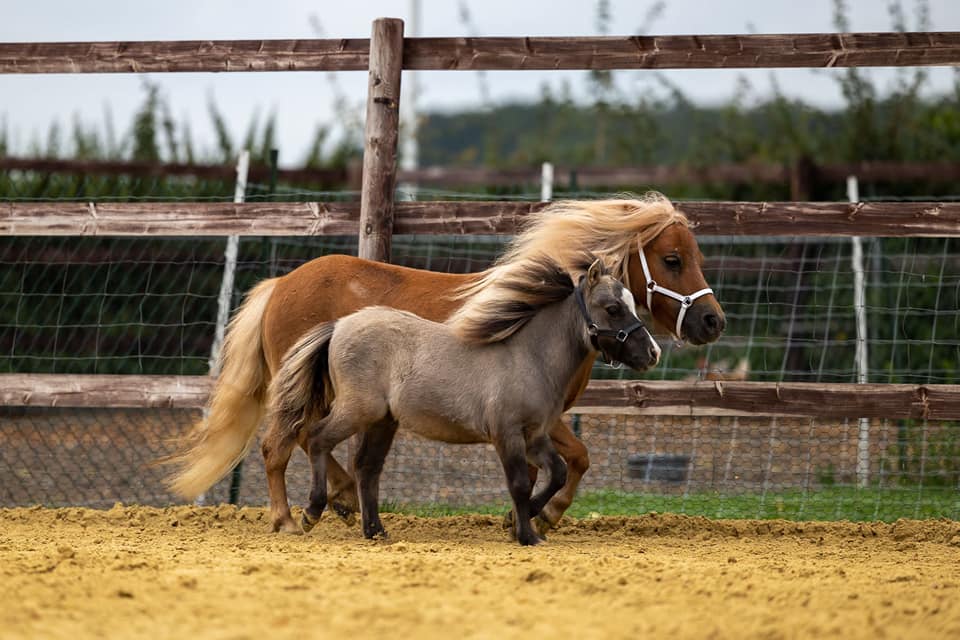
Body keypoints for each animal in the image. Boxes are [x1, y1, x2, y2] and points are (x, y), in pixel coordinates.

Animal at [165, 194, 724, 536]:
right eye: (673, 259)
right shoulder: (535, 417)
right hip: (313, 391)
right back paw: (293, 516)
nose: (713, 321)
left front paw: (527, 519)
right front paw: (540, 519)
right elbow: (579, 458)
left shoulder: (538, 420)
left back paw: (345, 504)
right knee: (286, 442)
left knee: (308, 442)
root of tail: (280, 284)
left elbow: (558, 464)